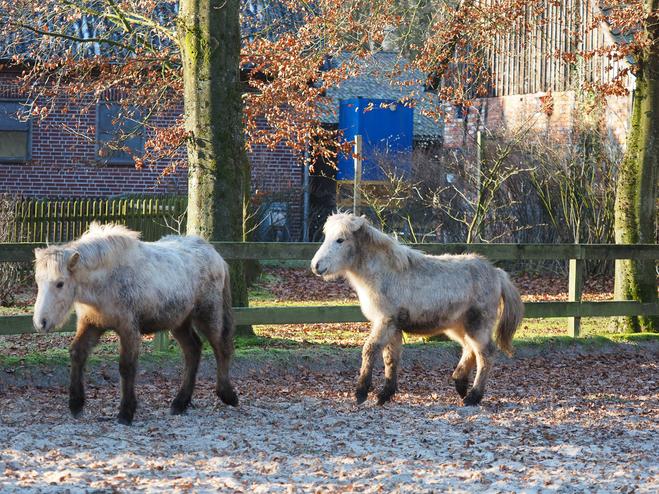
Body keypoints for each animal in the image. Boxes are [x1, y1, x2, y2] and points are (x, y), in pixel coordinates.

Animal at [33, 224, 238, 424]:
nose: (41, 322)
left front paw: (126, 412)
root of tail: (216, 255)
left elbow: (126, 367)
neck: (108, 278)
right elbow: (77, 353)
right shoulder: (92, 324)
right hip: (179, 321)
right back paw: (180, 402)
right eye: (38, 282)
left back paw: (227, 395)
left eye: (60, 283)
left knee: (221, 348)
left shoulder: (128, 329)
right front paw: (76, 405)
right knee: (193, 350)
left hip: (208, 315)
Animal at [312, 212, 524, 406]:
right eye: (327, 236)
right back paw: (460, 385)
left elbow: (370, 350)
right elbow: (390, 358)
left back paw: (473, 396)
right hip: (459, 327)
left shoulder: (385, 322)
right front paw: (385, 394)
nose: (316, 266)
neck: (383, 273)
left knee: (486, 354)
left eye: (340, 239)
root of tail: (496, 273)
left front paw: (361, 392)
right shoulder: (394, 326)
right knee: (470, 349)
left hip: (477, 325)